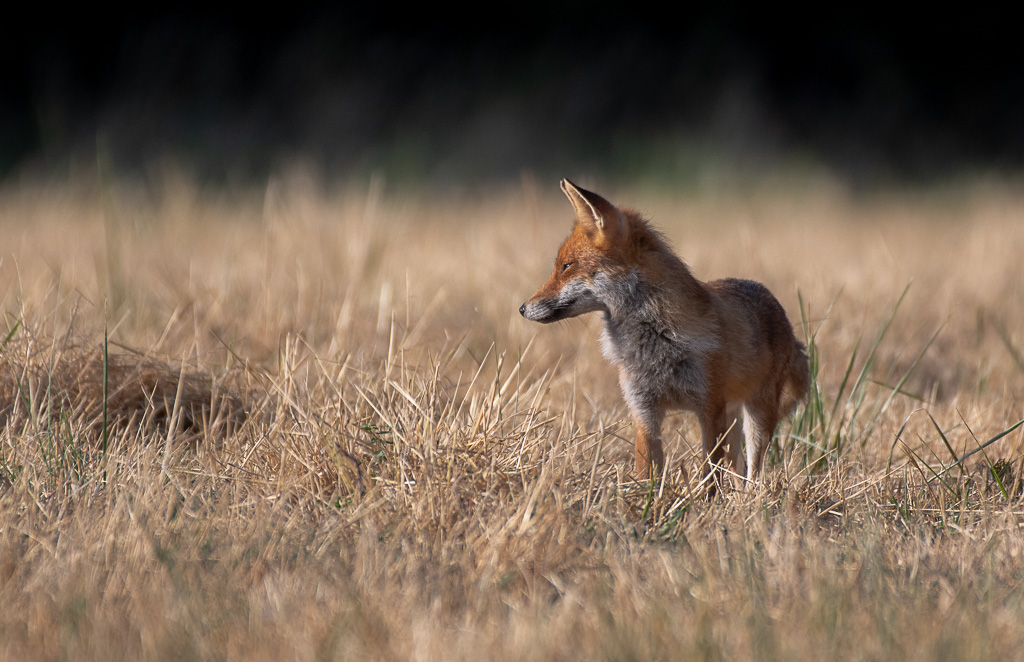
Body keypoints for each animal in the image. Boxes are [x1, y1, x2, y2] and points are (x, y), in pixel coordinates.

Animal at [520, 179, 809, 482]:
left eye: (566, 266)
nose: (523, 308)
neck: (658, 338)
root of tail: (781, 311)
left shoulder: (710, 410)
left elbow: (710, 478)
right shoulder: (644, 411)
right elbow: (647, 472)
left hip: (757, 417)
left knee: (754, 471)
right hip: (732, 419)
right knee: (738, 468)